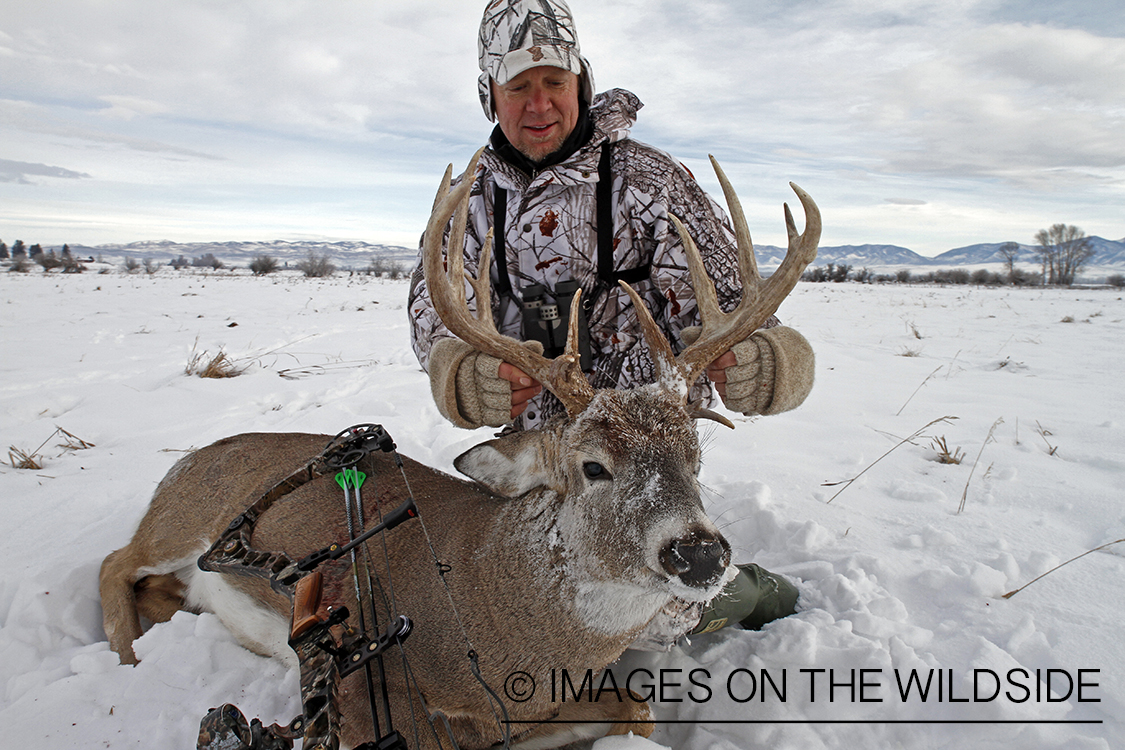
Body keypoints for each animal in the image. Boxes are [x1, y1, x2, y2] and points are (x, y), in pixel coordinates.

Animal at [99, 149, 820, 750]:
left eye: (695, 459)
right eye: (592, 466)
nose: (699, 554)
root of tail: (184, 461)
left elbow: (637, 708)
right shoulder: (362, 698)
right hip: (181, 521)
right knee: (114, 561)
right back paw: (127, 657)